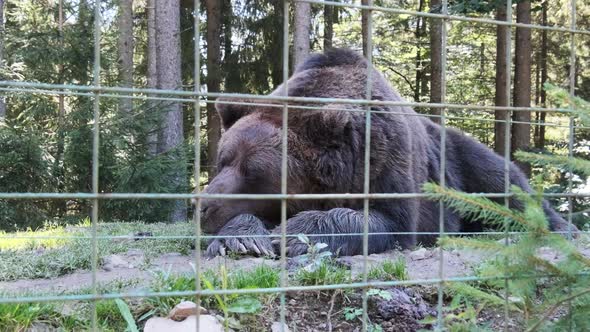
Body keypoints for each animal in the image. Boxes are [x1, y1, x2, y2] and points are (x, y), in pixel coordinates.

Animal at [197, 48, 576, 258]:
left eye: (255, 172)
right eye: (223, 160)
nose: (203, 207)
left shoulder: (385, 159)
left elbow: (386, 221)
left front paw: (293, 235)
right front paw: (243, 238)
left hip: (460, 159)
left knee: (504, 182)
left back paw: (560, 228)